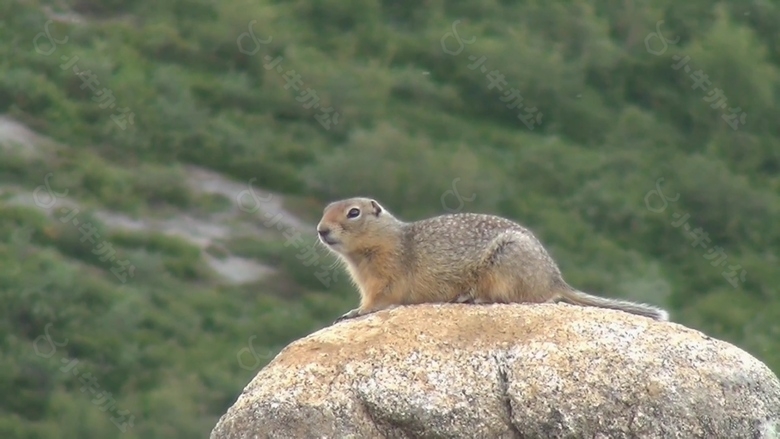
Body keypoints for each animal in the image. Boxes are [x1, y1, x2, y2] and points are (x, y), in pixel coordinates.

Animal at [314, 198, 668, 322]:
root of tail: (556, 280)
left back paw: (471, 296)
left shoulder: (386, 276)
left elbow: (378, 300)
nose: (320, 230)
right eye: (325, 209)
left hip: (504, 265)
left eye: (353, 212)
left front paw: (354, 313)